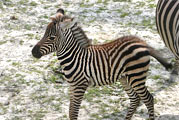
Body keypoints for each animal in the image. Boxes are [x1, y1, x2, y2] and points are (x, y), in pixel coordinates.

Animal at [31, 8, 171, 120]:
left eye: (52, 37)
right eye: (44, 34)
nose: (33, 52)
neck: (74, 56)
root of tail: (143, 43)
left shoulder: (80, 86)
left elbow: (73, 113)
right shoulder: (72, 86)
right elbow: (71, 111)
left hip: (136, 77)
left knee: (148, 99)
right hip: (125, 78)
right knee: (135, 99)